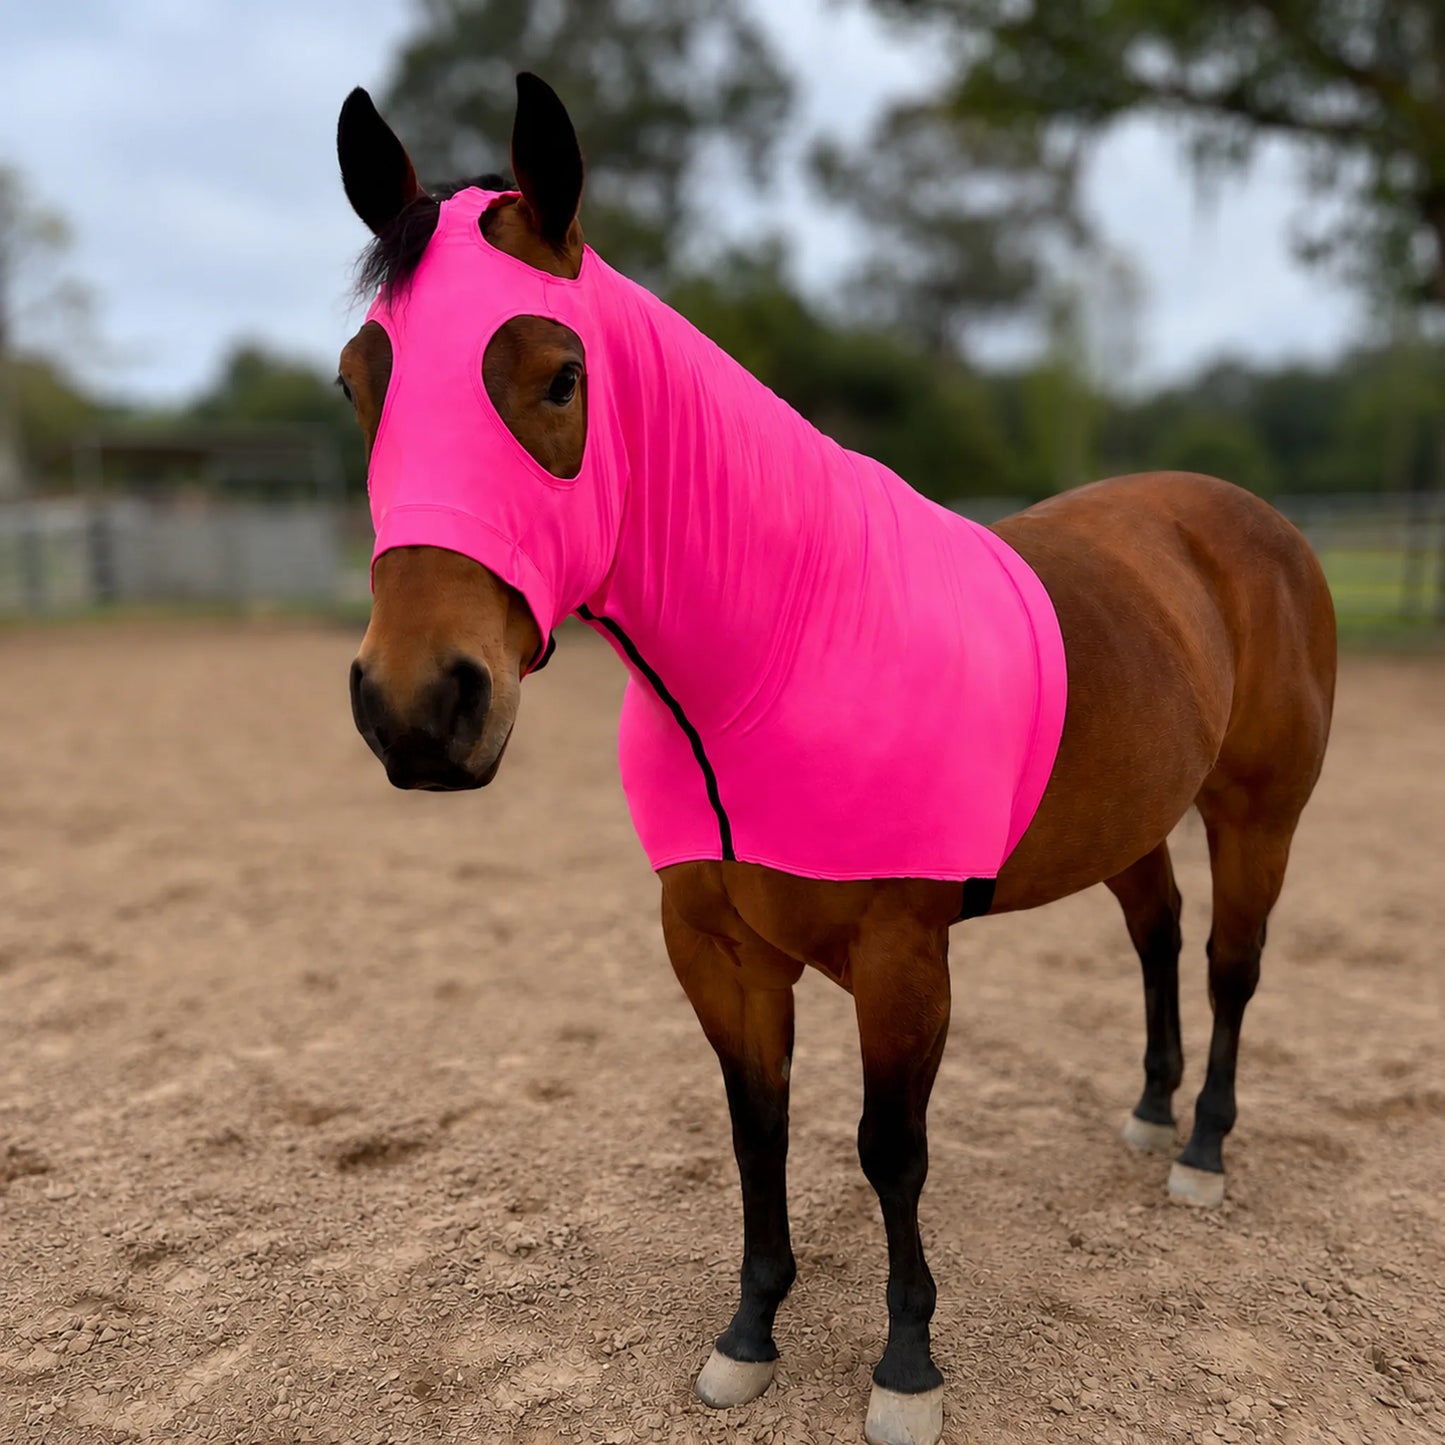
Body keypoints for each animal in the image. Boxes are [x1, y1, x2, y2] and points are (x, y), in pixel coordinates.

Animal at [334, 74, 1336, 1445]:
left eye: (557, 377)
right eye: (355, 384)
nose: (417, 705)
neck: (776, 648)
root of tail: (1246, 522)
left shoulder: (900, 953)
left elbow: (887, 1147)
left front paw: (904, 1365)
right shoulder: (714, 943)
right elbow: (756, 1127)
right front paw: (748, 1332)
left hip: (1256, 812)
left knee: (1232, 963)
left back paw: (1199, 1153)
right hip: (1133, 818)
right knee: (1158, 935)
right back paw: (1145, 1114)